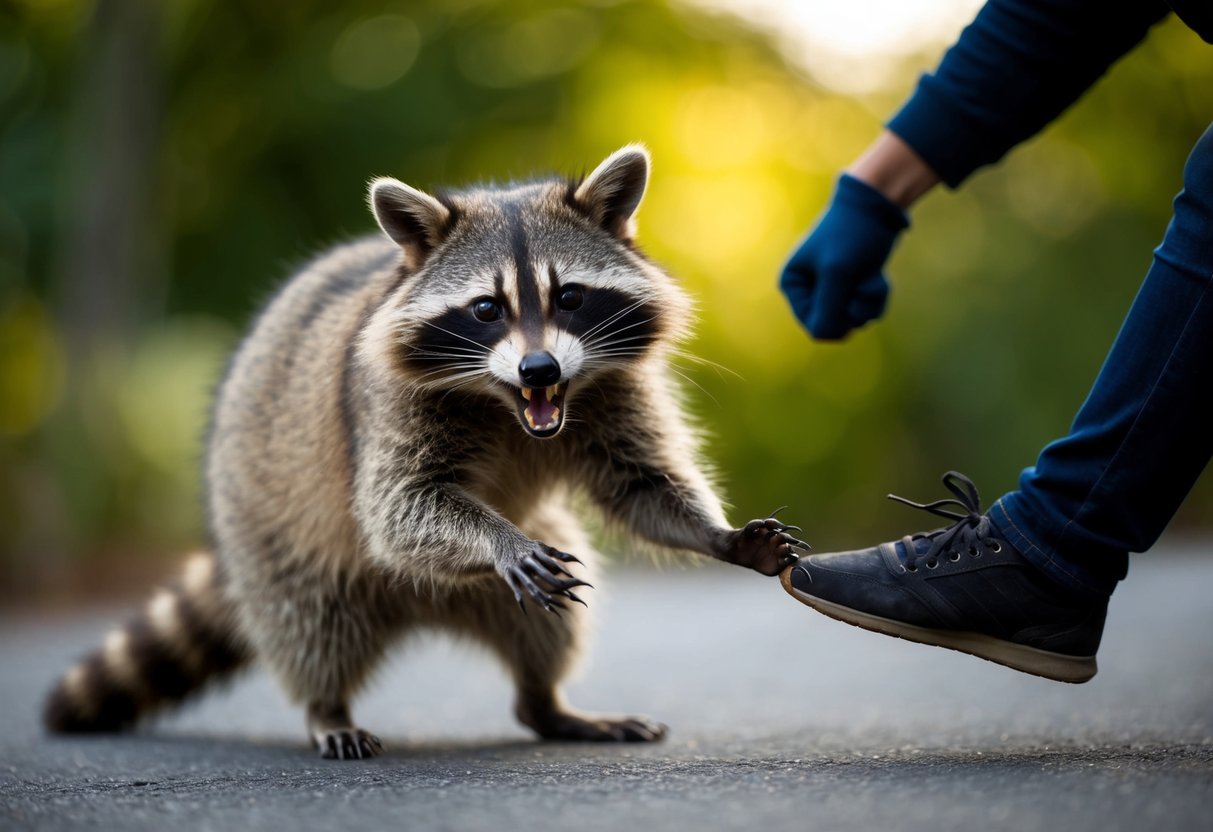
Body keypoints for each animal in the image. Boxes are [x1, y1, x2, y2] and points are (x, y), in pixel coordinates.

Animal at [43, 145, 807, 758]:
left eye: (569, 296)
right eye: (486, 309)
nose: (538, 369)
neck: (510, 403)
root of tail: (420, 604)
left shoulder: (611, 391)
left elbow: (640, 482)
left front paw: (718, 534)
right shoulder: (385, 405)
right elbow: (399, 506)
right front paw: (497, 537)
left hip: (500, 595)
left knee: (549, 632)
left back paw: (547, 704)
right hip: (272, 532)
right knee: (310, 625)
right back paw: (326, 705)